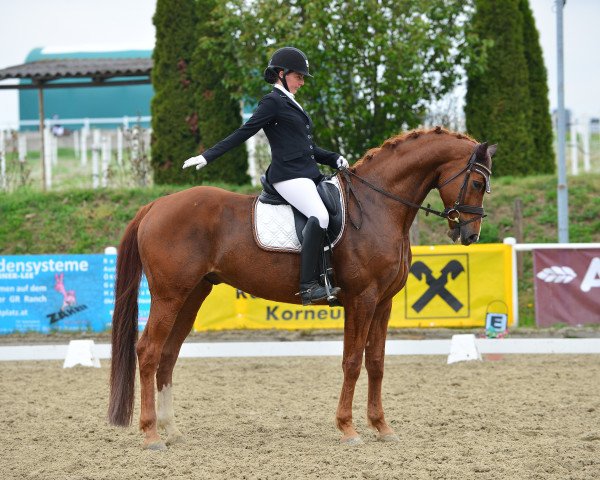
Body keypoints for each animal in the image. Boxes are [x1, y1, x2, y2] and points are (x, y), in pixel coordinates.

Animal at [110, 127, 494, 450]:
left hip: (191, 296)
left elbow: (377, 363)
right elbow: (352, 361)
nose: (469, 235)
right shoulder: (362, 299)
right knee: (148, 351)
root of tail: (156, 204)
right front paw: (348, 429)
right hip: (169, 296)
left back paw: (171, 430)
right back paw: (151, 434)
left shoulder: (382, 302)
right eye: (477, 182)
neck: (377, 207)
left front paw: (382, 427)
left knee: (168, 354)